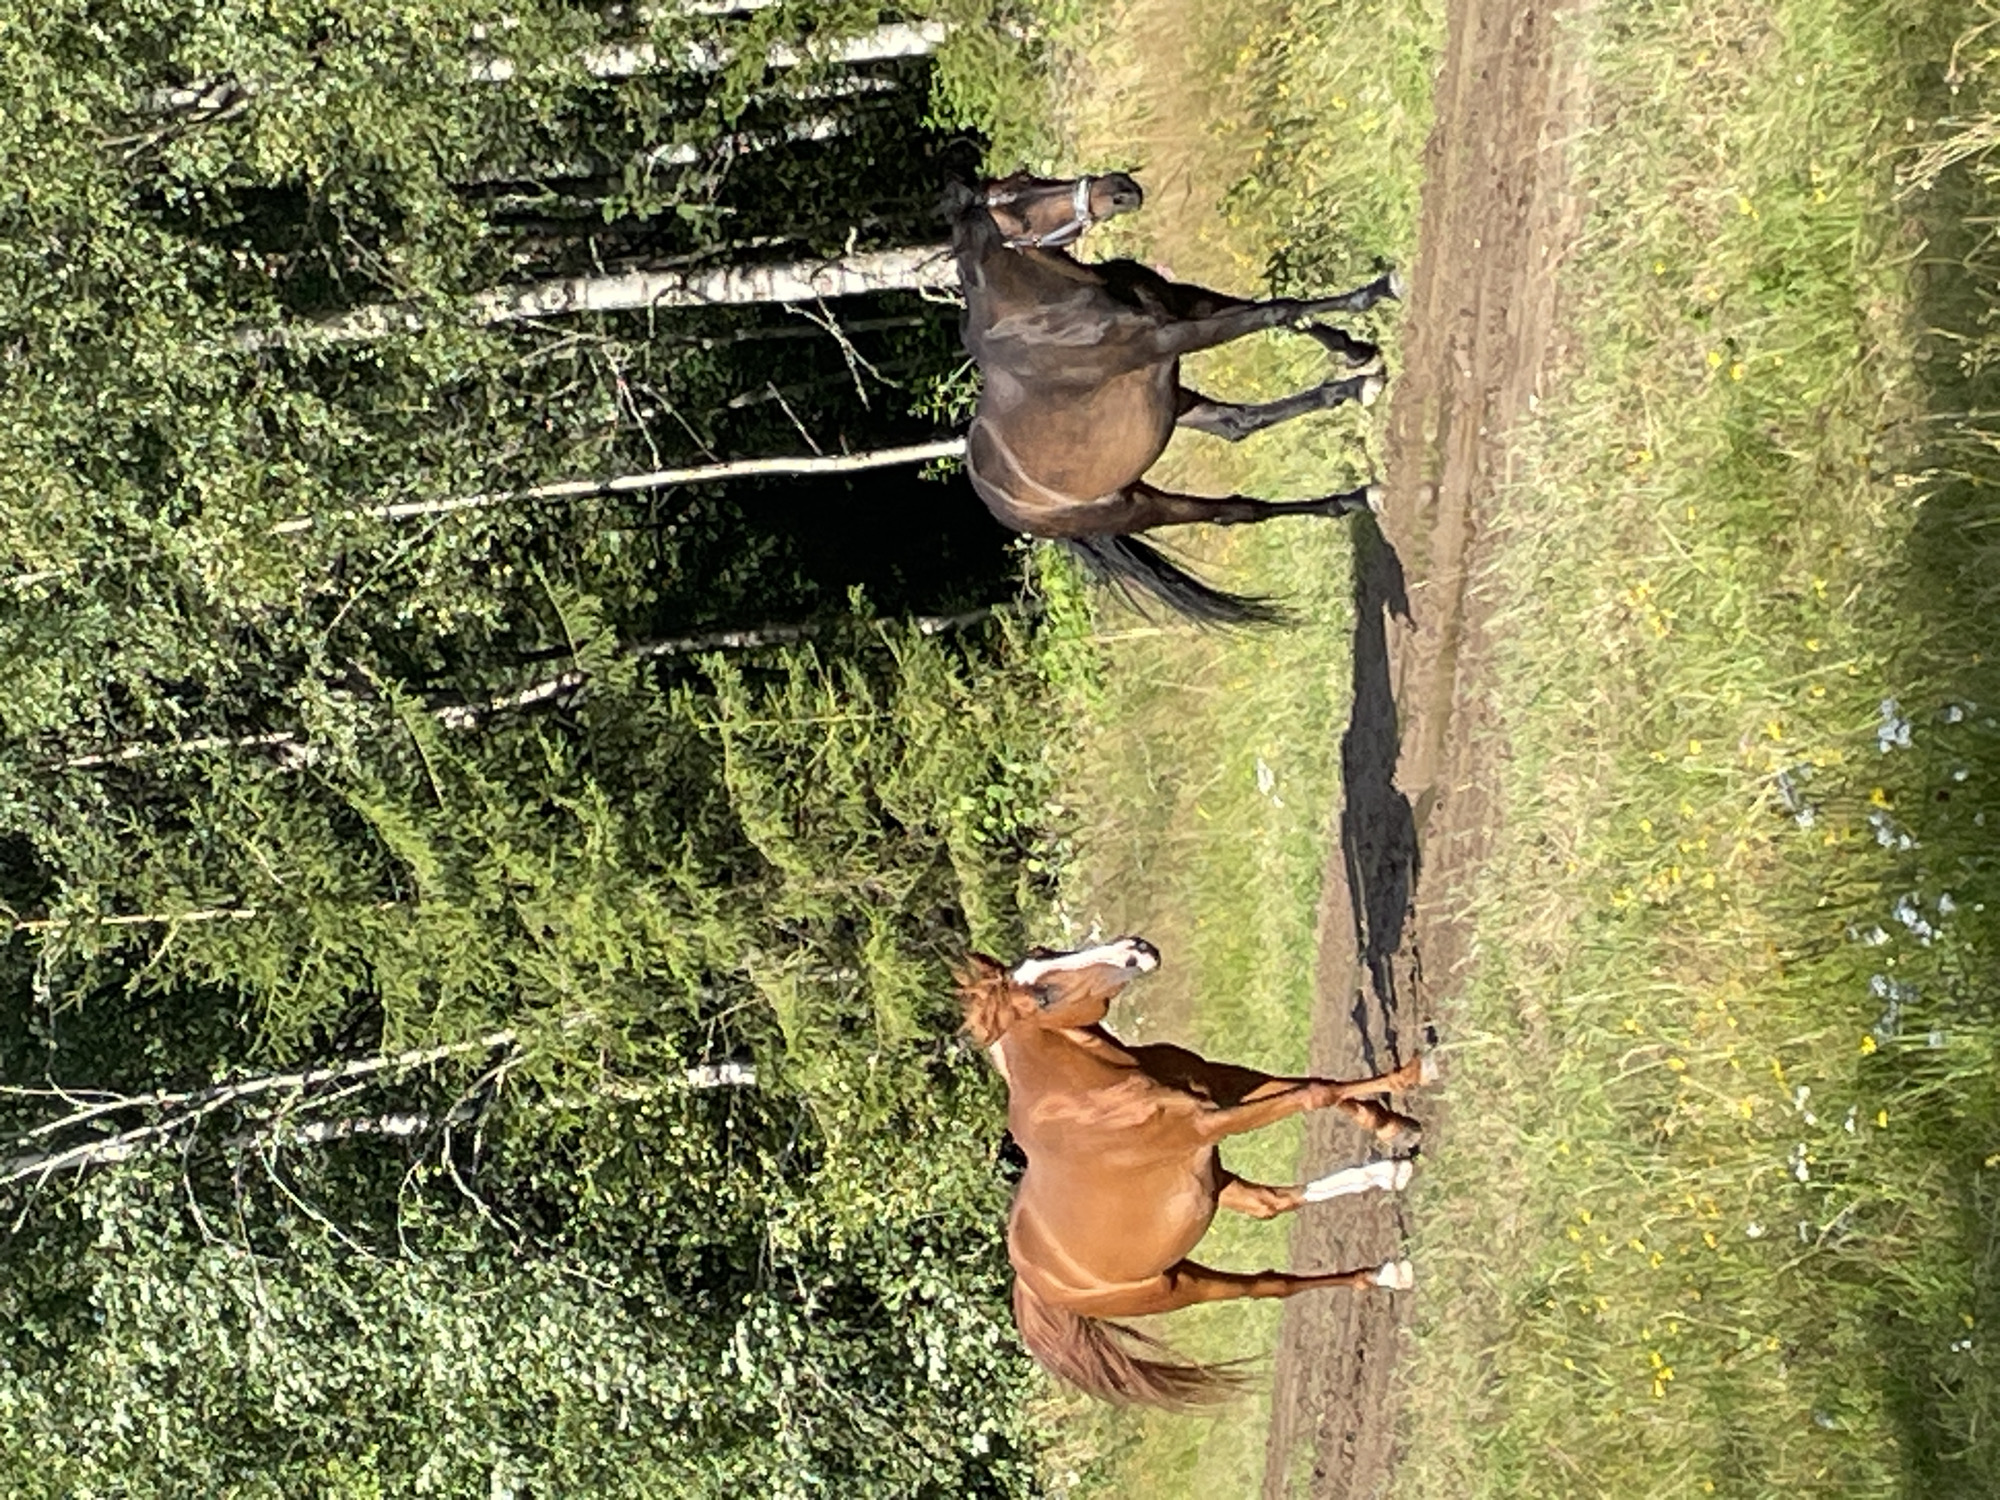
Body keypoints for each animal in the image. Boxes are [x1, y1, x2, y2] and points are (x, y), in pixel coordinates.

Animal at [951, 170, 1404, 624]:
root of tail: (1000, 504)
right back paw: (1359, 482)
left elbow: (1280, 310)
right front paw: (1370, 316)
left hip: (1173, 401)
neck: (1045, 308)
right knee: (1231, 511)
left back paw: (1354, 429)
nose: (1119, 189)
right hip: (1138, 506)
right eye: (1016, 208)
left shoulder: (1184, 303)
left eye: (1026, 176)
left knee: (1236, 427)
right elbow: (1276, 312)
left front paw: (1361, 339)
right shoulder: (1172, 336)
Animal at [956, 936, 1433, 1408]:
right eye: (1044, 996)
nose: (1136, 949)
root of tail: (1030, 1285)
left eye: (1045, 953)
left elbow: (1316, 1085)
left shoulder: (1223, 1084)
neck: (1092, 1089)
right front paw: (1414, 1080)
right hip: (1179, 1286)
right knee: (1267, 1284)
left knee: (1271, 1203)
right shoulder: (1210, 1123)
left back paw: (1390, 1183)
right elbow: (1313, 1094)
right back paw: (1387, 1269)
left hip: (1213, 1185)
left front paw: (1396, 1115)